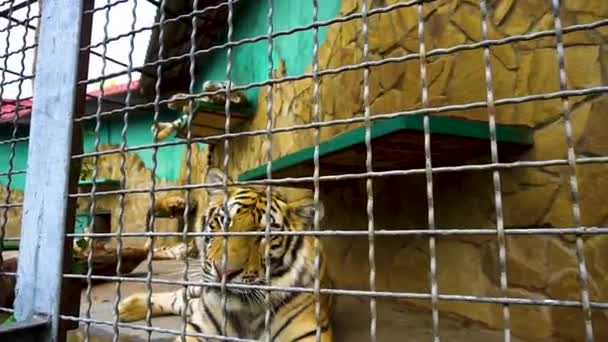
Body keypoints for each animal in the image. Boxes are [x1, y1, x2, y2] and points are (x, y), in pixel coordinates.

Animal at [116, 169, 334, 342]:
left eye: (264, 234)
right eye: (224, 221)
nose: (224, 271)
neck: (246, 316)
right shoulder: (198, 330)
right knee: (179, 297)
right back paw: (126, 307)